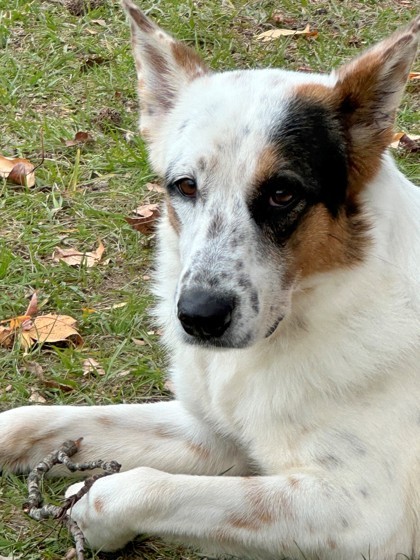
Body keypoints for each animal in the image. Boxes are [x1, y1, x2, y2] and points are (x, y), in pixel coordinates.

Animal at [0, 4, 420, 560]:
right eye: (184, 186)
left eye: (282, 193)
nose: (198, 318)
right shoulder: (210, 432)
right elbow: (42, 419)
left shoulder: (364, 518)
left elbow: (133, 488)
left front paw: (88, 511)